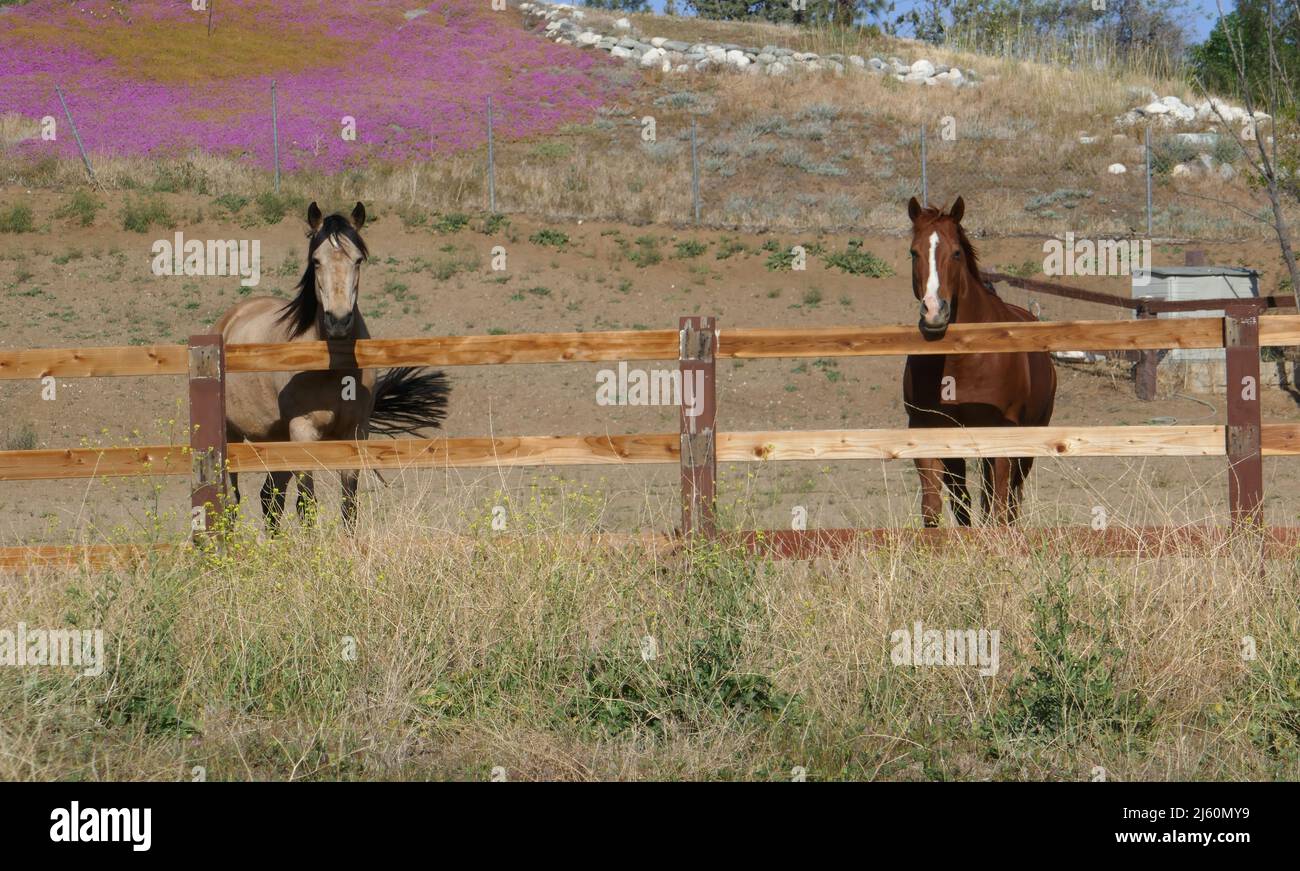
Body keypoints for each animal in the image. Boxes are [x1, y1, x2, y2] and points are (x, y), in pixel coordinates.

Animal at [216, 201, 450, 530]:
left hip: (277, 440)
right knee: (232, 500)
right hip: (233, 438)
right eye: (316, 261)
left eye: (358, 260)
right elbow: (307, 505)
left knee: (270, 499)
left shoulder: (355, 433)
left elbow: (349, 506)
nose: (338, 321)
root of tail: (231, 318)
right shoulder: (303, 433)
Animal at [902, 196, 1056, 526]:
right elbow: (937, 508)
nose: (934, 313)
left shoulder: (1003, 433)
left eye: (956, 253)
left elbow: (998, 507)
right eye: (913, 252)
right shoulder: (928, 431)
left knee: (1011, 501)